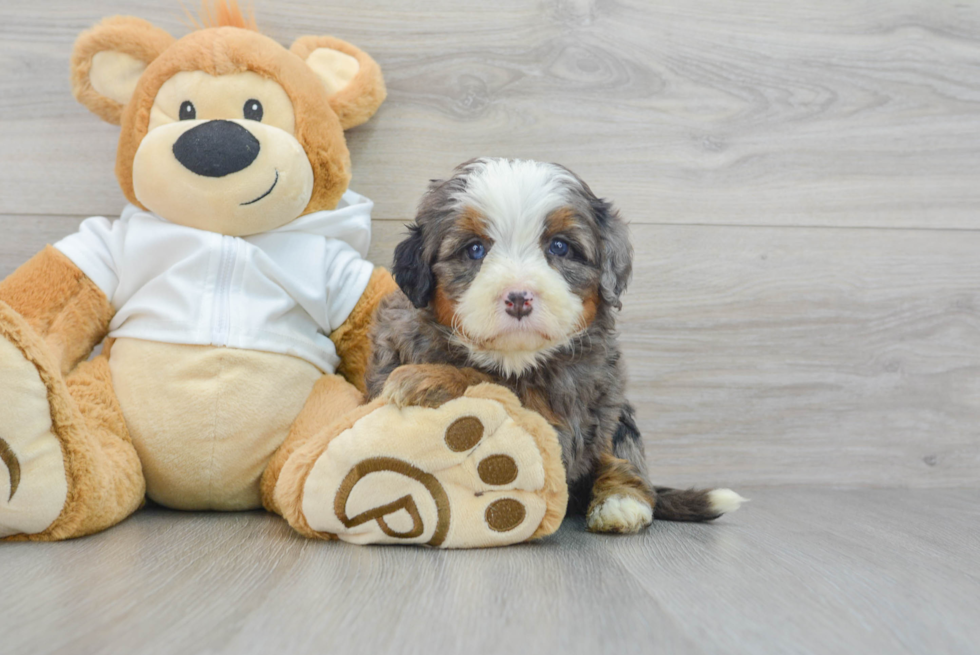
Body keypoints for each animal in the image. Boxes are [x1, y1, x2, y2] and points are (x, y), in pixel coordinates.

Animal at [366, 158, 744, 532]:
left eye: (560, 247)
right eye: (474, 249)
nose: (519, 298)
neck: (514, 360)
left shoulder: (575, 396)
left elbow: (496, 388)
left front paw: (425, 380)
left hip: (615, 413)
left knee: (621, 455)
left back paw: (620, 504)